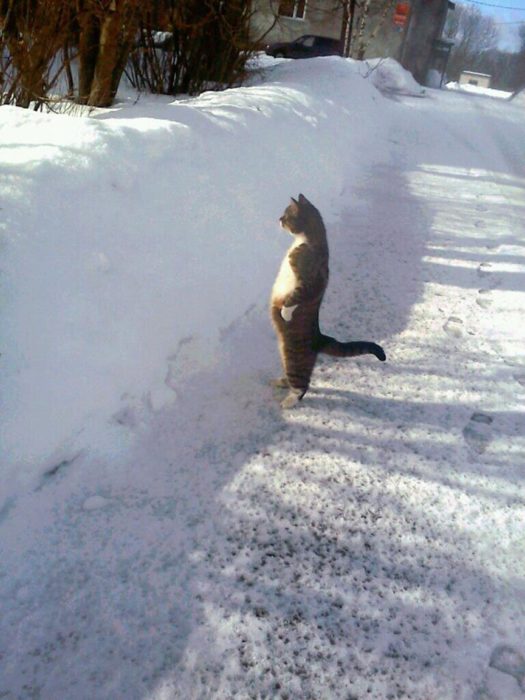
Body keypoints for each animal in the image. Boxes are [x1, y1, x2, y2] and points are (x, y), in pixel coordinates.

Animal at [270, 194, 384, 408]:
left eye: (287, 215)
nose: (279, 219)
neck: (307, 241)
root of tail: (320, 337)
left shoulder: (310, 281)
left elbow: (296, 296)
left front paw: (286, 312)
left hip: (294, 358)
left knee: (302, 385)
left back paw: (289, 400)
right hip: (284, 354)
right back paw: (281, 381)